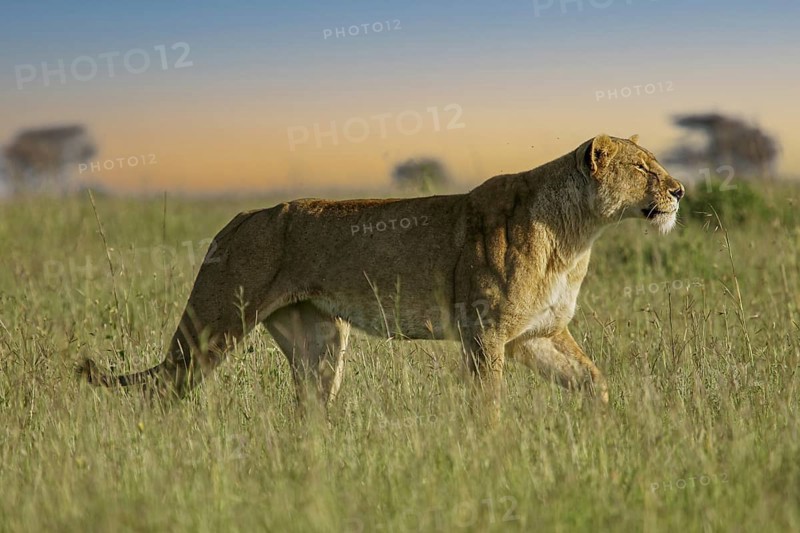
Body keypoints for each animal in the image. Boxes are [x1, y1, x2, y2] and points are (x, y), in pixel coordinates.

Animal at [79, 134, 684, 408]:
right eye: (642, 168)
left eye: (657, 165)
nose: (679, 190)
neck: (576, 236)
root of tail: (241, 216)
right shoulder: (484, 331)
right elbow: (487, 400)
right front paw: (491, 451)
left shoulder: (535, 334)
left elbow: (592, 379)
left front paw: (608, 424)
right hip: (215, 324)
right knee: (164, 388)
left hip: (319, 342)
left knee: (310, 407)